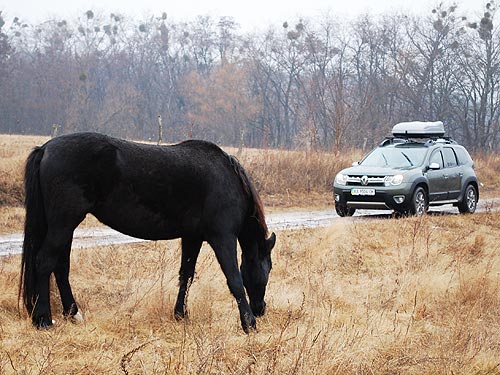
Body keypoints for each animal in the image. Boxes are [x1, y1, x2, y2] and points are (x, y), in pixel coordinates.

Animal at [19, 134, 276, 334]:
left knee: (60, 267)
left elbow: (186, 275)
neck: (227, 179)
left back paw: (73, 314)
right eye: (267, 269)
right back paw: (44, 320)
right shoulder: (222, 238)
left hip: (64, 226)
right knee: (44, 262)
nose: (260, 309)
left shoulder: (192, 238)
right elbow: (234, 280)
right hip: (63, 224)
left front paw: (181, 314)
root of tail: (45, 148)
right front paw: (248, 325)